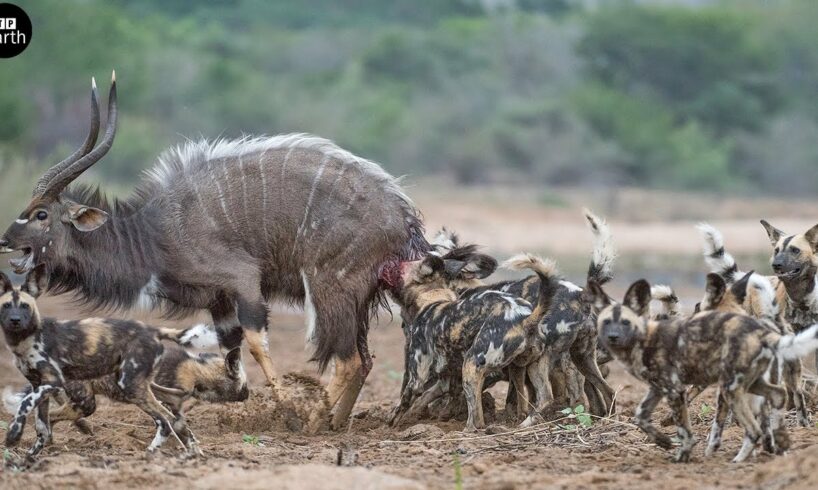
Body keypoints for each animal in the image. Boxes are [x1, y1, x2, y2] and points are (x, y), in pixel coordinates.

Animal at [0, 74, 430, 426]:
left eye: (40, 214)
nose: (5, 241)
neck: (153, 234)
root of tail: (404, 217)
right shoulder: (219, 300)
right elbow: (232, 359)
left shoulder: (243, 280)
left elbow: (255, 342)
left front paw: (287, 410)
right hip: (356, 299)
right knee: (364, 360)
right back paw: (334, 422)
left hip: (329, 289)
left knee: (348, 360)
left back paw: (314, 422)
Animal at [0, 266, 194, 458]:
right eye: (6, 306)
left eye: (25, 306)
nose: (15, 320)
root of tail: (154, 330)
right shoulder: (39, 385)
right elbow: (41, 423)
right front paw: (28, 456)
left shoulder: (52, 382)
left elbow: (28, 406)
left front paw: (15, 436)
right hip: (127, 390)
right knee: (175, 417)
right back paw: (192, 453)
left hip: (113, 392)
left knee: (166, 420)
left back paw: (151, 452)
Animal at [392, 255, 556, 430]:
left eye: (403, 269)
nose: (396, 262)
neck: (434, 299)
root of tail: (526, 318)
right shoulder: (445, 380)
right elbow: (423, 400)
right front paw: (413, 416)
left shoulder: (417, 379)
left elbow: (403, 403)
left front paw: (391, 424)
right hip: (524, 367)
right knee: (543, 399)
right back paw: (523, 423)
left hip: (471, 366)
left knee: (476, 419)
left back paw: (467, 431)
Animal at [588, 278, 816, 462]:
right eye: (606, 322)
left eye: (626, 322)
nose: (613, 337)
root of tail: (765, 333)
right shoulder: (657, 389)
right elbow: (641, 417)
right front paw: (663, 441)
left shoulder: (676, 390)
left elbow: (687, 431)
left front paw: (684, 454)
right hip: (752, 384)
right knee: (778, 398)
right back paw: (777, 444)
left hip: (732, 388)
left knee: (755, 427)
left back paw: (740, 460)